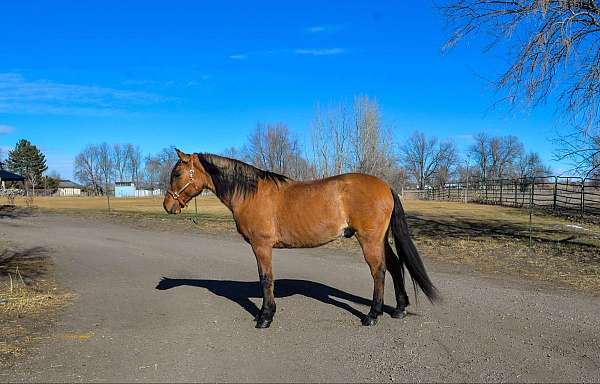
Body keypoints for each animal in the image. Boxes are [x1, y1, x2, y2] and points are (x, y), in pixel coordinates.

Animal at [163, 148, 436, 328]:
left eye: (177, 173)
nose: (167, 206)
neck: (252, 193)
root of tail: (386, 186)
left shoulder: (261, 246)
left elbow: (266, 279)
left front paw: (265, 317)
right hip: (381, 239)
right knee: (395, 265)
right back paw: (399, 309)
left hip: (369, 240)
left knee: (379, 271)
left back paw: (372, 315)